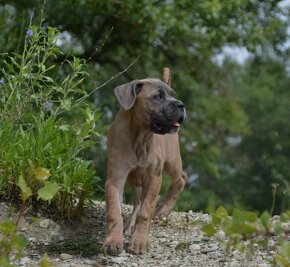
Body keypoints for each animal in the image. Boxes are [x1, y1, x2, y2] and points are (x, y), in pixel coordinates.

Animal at [103, 70, 187, 256]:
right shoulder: (116, 179)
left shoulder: (154, 177)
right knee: (139, 202)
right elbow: (114, 211)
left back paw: (164, 210)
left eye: (173, 95)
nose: (180, 104)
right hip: (136, 180)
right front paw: (113, 241)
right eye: (157, 97)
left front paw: (140, 241)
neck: (141, 135)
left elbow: (145, 211)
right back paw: (130, 226)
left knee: (180, 179)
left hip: (172, 161)